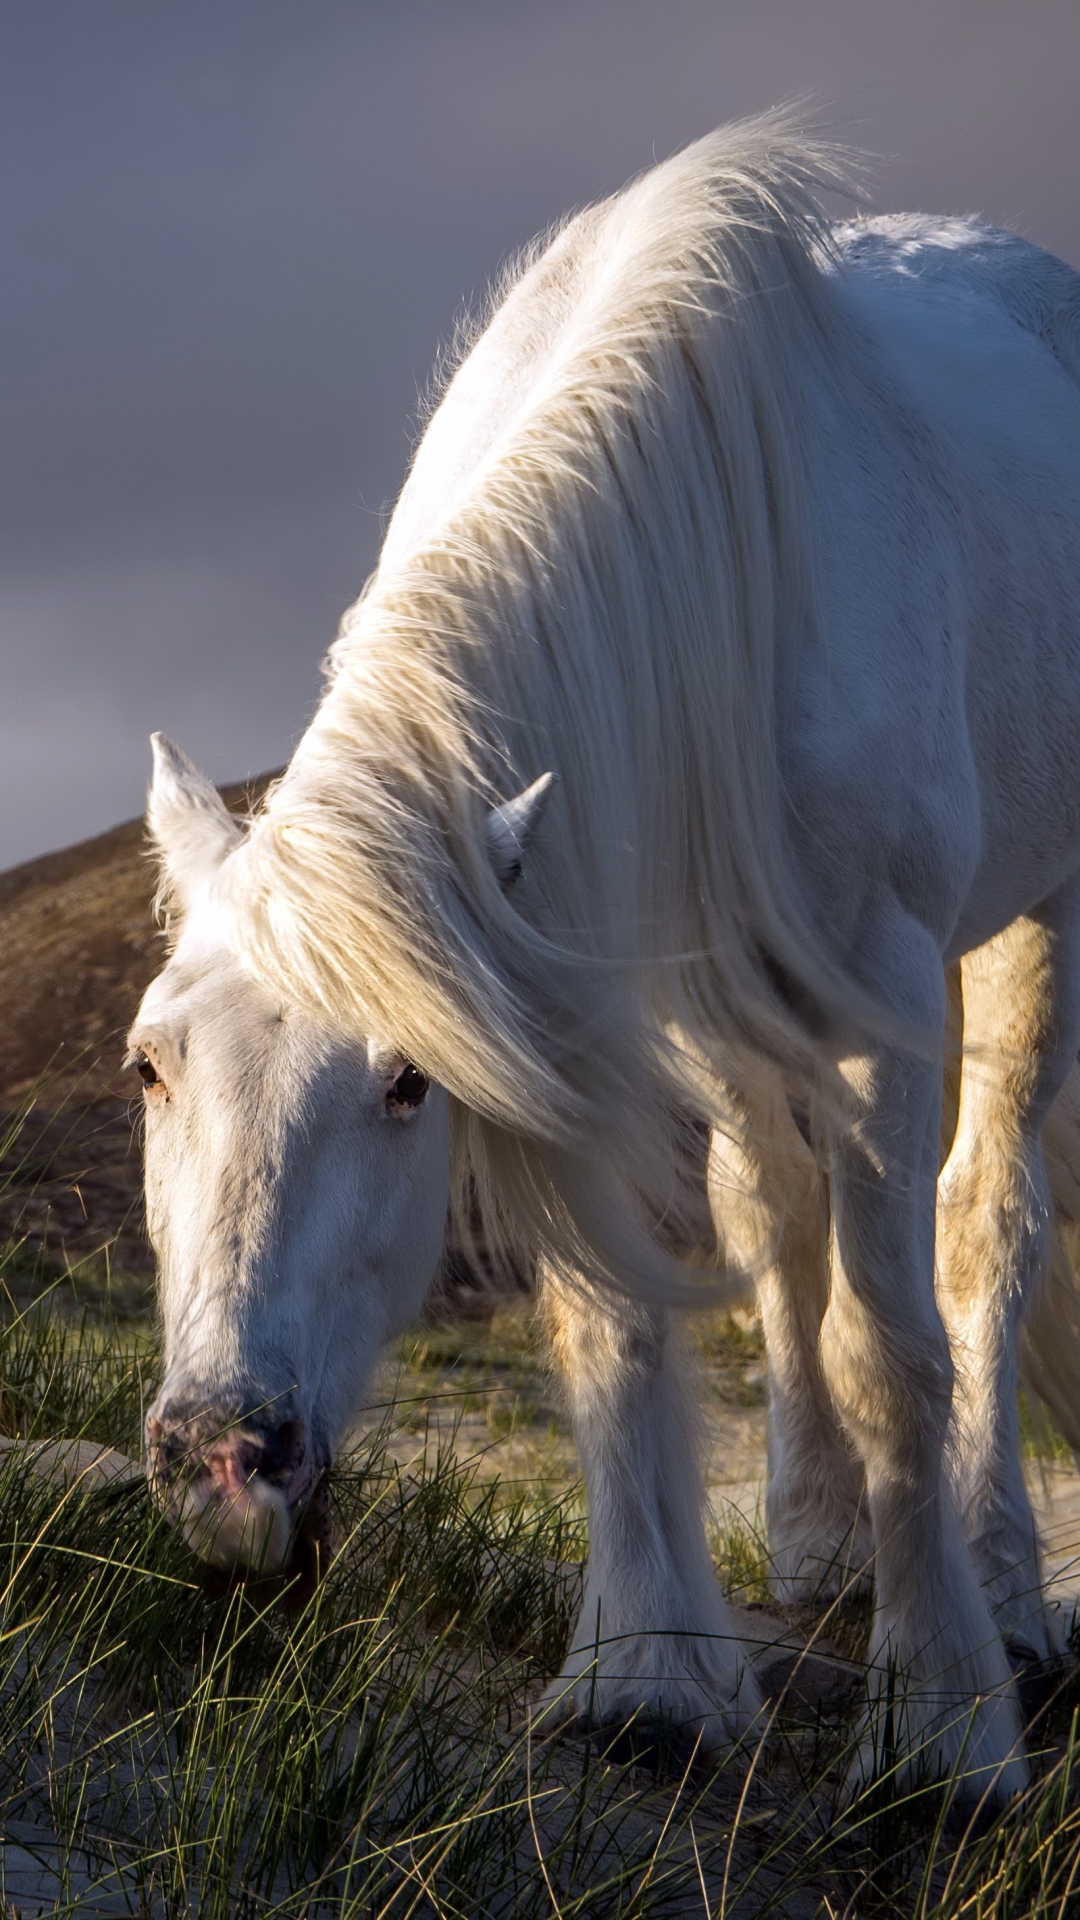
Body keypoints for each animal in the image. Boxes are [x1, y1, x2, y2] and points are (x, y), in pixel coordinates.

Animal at [127, 120, 1080, 1797]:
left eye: (404, 1084)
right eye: (149, 1065)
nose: (221, 1460)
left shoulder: (885, 994)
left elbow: (891, 1347)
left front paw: (944, 1726)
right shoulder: (584, 988)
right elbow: (613, 1309)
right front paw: (649, 1674)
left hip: (1031, 924)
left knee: (988, 1224)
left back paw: (1005, 1592)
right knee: (774, 1212)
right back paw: (818, 1540)